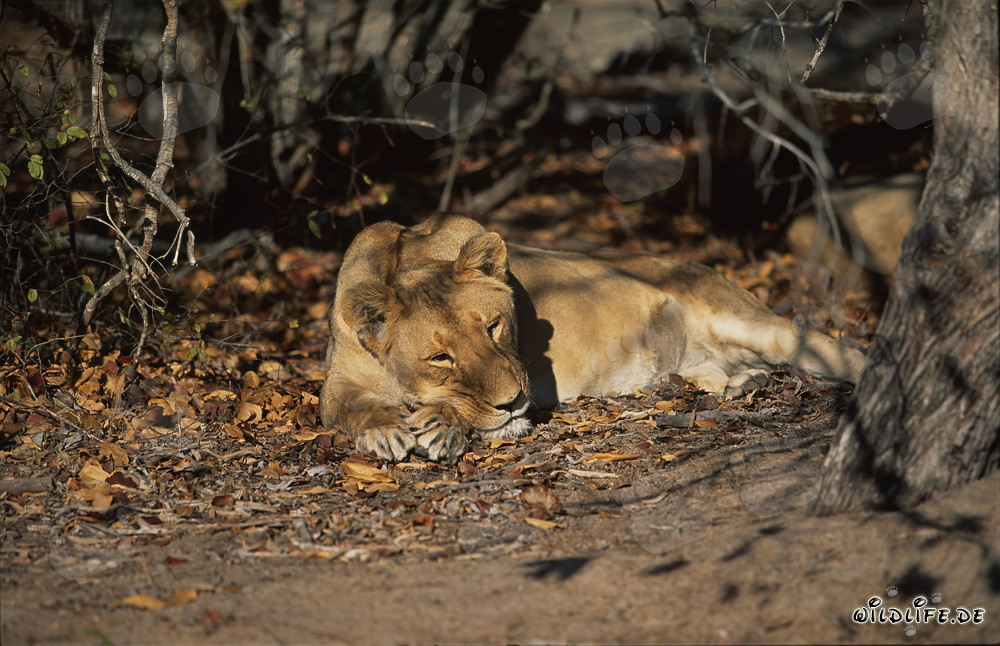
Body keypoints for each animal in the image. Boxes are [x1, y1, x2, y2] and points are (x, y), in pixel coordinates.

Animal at [320, 214, 865, 463]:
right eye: (440, 357)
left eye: (494, 327)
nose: (514, 402)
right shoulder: (336, 379)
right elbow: (347, 407)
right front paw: (384, 429)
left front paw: (441, 424)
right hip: (698, 362)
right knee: (721, 370)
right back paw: (744, 382)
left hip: (751, 321)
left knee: (839, 350)